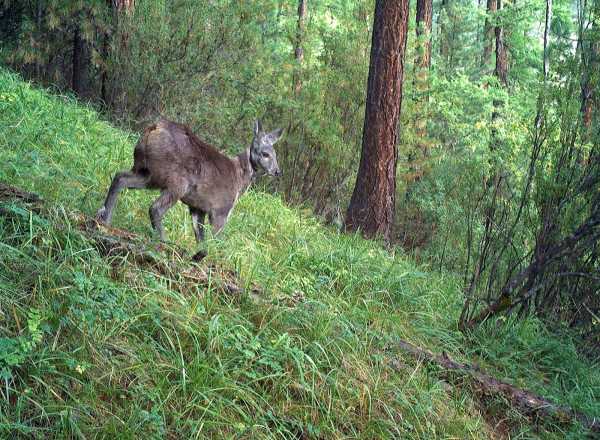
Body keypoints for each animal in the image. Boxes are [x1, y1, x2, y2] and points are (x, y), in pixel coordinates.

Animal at [97, 118, 284, 260]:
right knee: (155, 208)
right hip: (177, 181)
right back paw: (166, 243)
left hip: (147, 172)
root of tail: (153, 129)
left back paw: (105, 220)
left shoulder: (197, 207)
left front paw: (198, 257)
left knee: (120, 177)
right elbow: (217, 240)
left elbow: (201, 239)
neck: (239, 179)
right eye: (265, 154)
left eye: (275, 154)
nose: (277, 171)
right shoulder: (220, 210)